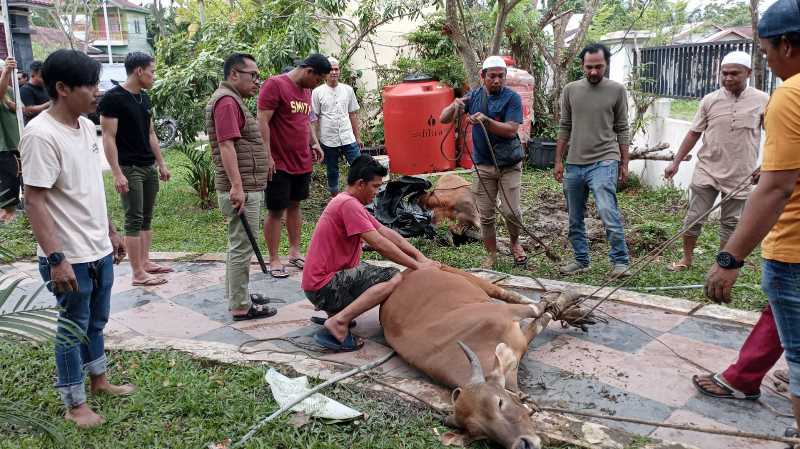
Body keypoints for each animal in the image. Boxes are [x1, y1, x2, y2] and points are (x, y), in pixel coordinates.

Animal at [378, 266, 592, 448]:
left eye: (499, 402)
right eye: (480, 434)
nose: (524, 444)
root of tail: (404, 275)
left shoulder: (506, 313)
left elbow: (538, 309)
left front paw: (568, 297)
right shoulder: (519, 341)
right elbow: (541, 319)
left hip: (460, 274)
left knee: (509, 294)